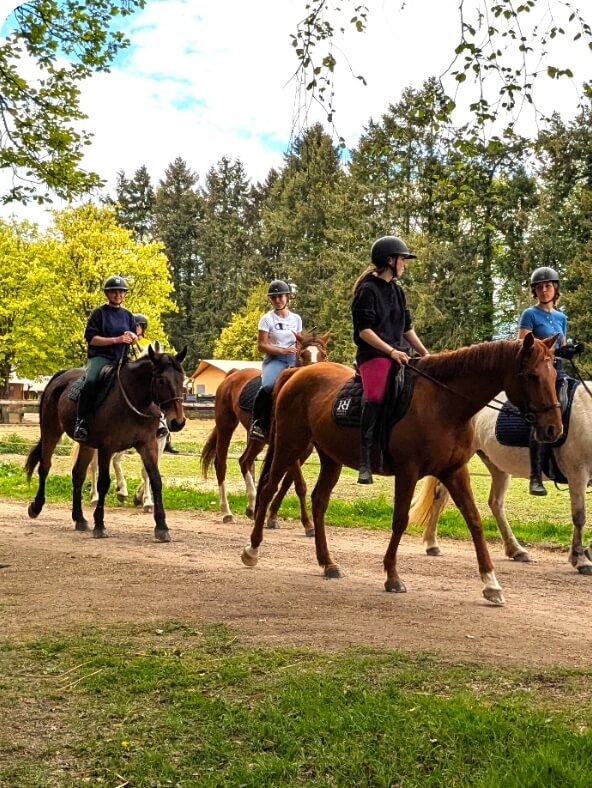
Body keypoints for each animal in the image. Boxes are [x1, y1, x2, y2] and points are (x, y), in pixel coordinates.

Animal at [25, 345, 187, 541]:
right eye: (161, 380)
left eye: (182, 379)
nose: (178, 422)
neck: (133, 399)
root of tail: (61, 376)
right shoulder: (106, 448)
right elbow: (104, 482)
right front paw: (100, 524)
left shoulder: (148, 444)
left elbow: (155, 479)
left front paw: (161, 525)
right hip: (51, 431)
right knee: (45, 467)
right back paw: (36, 507)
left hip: (87, 444)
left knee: (78, 474)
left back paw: (79, 519)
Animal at [200, 330, 330, 533]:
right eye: (303, 354)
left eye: (323, 355)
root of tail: (233, 373)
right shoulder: (287, 444)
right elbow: (299, 485)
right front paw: (308, 524)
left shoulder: (304, 450)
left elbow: (286, 482)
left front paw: (272, 516)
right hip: (225, 425)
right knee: (221, 464)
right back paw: (227, 512)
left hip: (257, 440)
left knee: (245, 461)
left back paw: (252, 507)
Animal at [241, 334, 563, 605]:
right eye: (533, 376)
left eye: (554, 376)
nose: (553, 428)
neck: (443, 404)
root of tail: (297, 374)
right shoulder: (408, 471)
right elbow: (399, 520)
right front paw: (392, 576)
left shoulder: (455, 471)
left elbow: (474, 521)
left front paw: (491, 584)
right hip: (290, 445)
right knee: (269, 488)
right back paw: (252, 551)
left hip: (329, 457)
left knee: (319, 500)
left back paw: (328, 563)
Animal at [408, 381, 592, 576]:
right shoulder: (577, 474)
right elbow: (580, 517)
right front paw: (581, 559)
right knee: (441, 496)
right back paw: (432, 544)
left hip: (496, 466)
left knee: (495, 503)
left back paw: (516, 550)